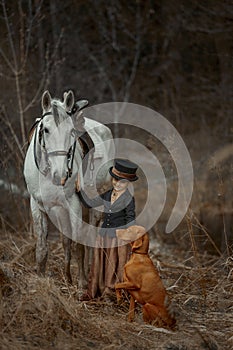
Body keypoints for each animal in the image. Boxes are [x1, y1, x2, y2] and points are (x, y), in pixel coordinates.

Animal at [23, 90, 114, 296]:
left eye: (71, 132)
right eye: (45, 130)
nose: (61, 174)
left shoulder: (74, 203)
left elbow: (79, 245)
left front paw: (81, 285)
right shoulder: (37, 204)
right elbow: (43, 246)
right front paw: (41, 278)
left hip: (95, 205)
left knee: (91, 238)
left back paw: (90, 275)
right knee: (67, 241)